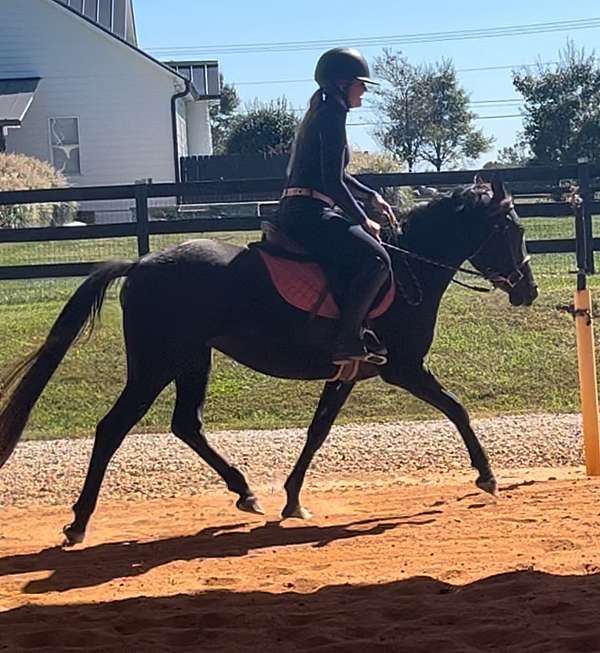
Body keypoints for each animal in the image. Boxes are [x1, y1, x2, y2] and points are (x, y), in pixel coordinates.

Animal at [0, 180, 536, 544]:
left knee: (186, 424)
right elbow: (457, 408)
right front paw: (487, 475)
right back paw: (79, 521)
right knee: (113, 427)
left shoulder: (349, 372)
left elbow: (318, 431)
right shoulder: (402, 368)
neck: (408, 268)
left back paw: (245, 491)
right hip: (155, 365)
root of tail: (141, 263)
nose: (527, 291)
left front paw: (293, 498)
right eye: (513, 229)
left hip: (192, 360)